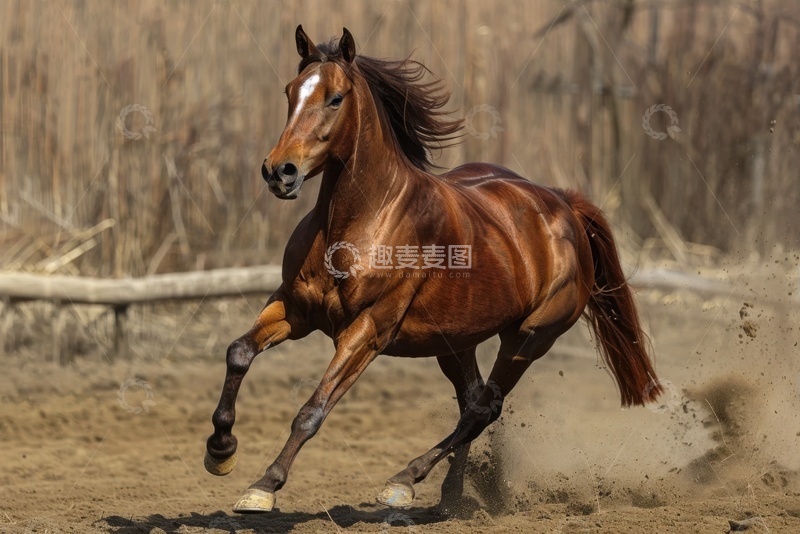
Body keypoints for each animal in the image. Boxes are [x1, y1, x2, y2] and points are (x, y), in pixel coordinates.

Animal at [204, 25, 662, 514]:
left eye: (335, 98)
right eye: (290, 92)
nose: (280, 172)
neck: (354, 224)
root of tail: (564, 205)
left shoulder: (368, 329)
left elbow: (312, 409)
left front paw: (263, 486)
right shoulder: (294, 308)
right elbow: (238, 352)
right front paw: (221, 451)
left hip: (529, 338)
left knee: (483, 409)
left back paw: (404, 481)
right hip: (455, 343)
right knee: (472, 403)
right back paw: (450, 498)